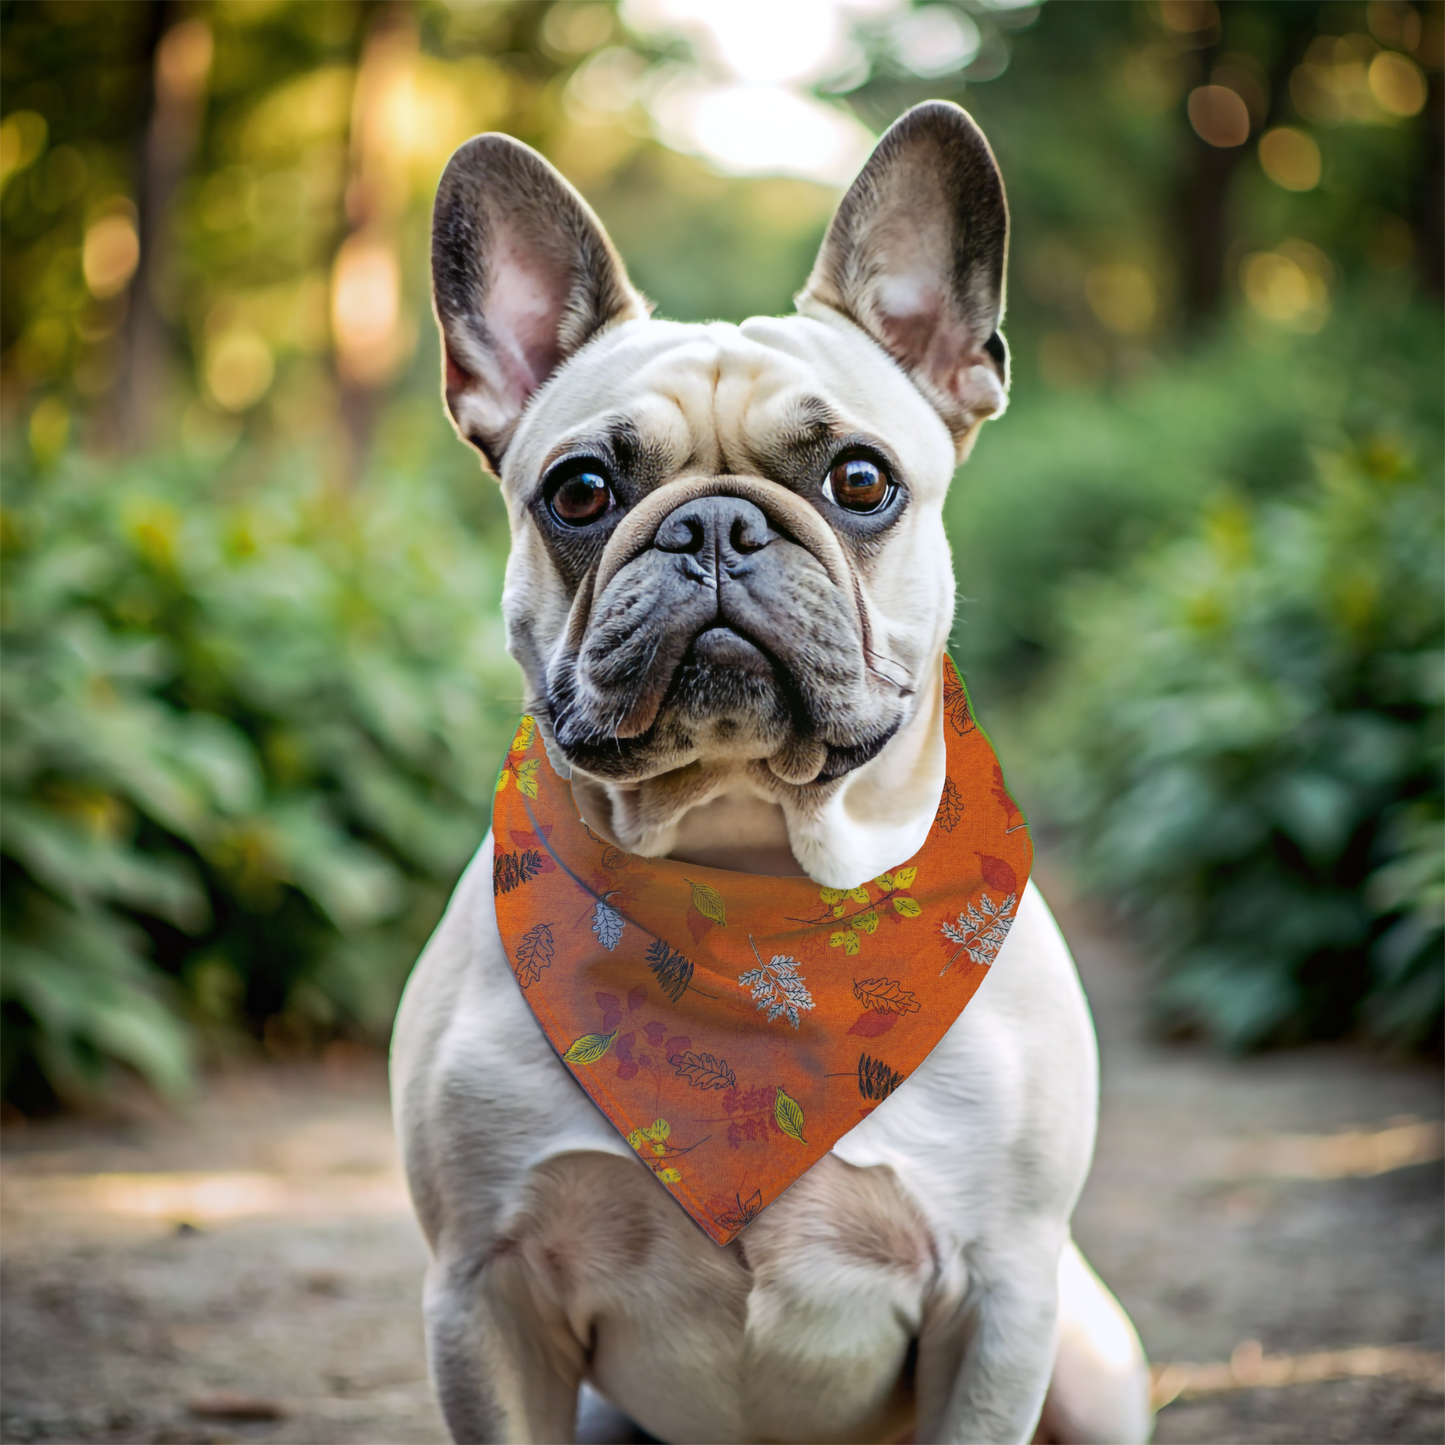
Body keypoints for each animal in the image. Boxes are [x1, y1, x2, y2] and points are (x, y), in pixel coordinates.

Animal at [393, 104, 1150, 1445]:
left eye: (860, 480)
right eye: (578, 491)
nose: (713, 526)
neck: (746, 882)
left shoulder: (1002, 1294)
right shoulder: (483, 1291)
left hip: (1090, 1356)